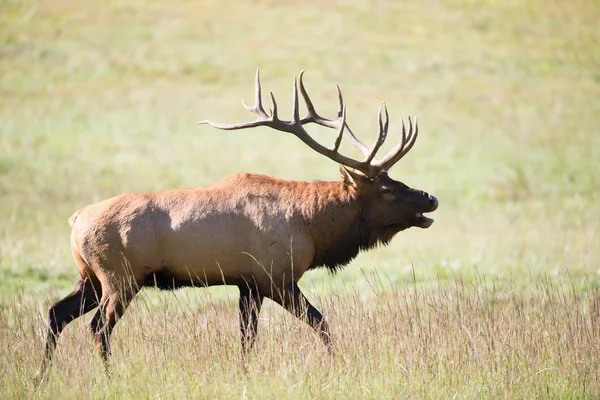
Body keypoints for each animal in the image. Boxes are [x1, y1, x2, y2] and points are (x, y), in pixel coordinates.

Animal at [37, 70, 438, 380]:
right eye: (387, 188)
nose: (430, 198)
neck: (313, 228)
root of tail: (75, 220)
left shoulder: (247, 283)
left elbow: (247, 340)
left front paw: (245, 374)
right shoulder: (274, 277)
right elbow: (320, 323)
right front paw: (336, 366)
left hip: (89, 277)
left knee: (56, 313)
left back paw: (41, 377)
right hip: (119, 277)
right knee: (97, 327)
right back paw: (110, 377)